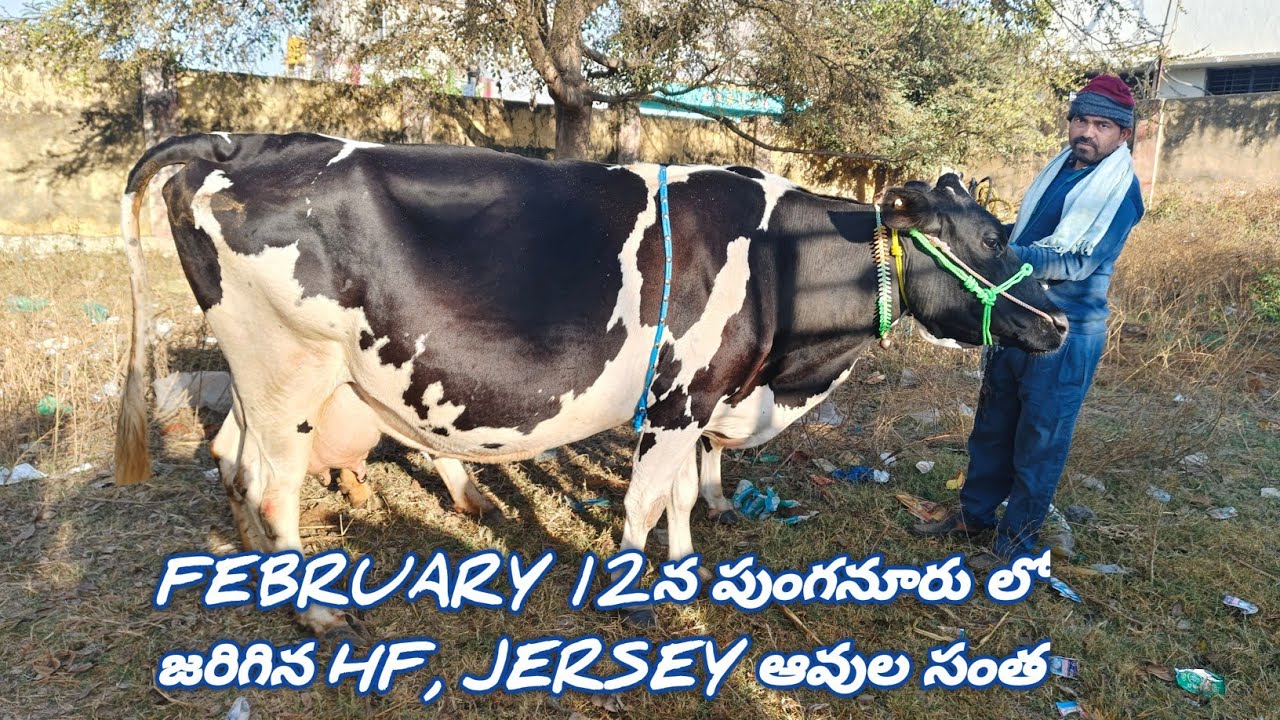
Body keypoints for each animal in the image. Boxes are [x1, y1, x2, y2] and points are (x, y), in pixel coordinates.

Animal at [114, 133, 1067, 636]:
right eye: (989, 240)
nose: (1058, 323)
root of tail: (233, 142)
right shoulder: (680, 400)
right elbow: (644, 502)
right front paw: (629, 593)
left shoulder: (698, 401)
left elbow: (679, 498)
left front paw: (684, 571)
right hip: (289, 368)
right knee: (273, 484)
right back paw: (314, 613)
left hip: (257, 371)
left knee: (230, 458)